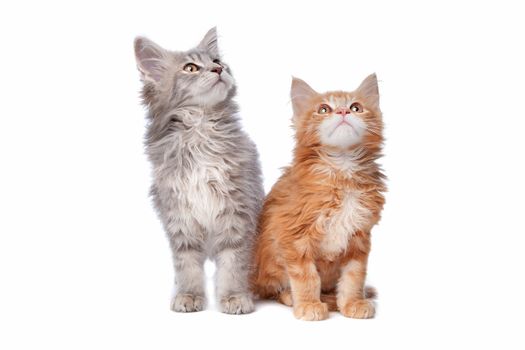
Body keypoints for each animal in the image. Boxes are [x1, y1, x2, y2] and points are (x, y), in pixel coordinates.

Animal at [134, 28, 262, 314]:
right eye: (190, 68)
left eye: (217, 61)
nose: (218, 69)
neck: (200, 131)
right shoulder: (179, 214)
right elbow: (187, 265)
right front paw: (189, 295)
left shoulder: (237, 210)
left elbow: (234, 262)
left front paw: (234, 296)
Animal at [250, 75, 384, 322]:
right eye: (323, 109)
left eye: (356, 107)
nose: (342, 111)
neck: (342, 172)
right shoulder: (294, 236)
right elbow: (306, 276)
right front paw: (309, 304)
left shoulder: (359, 237)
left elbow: (354, 276)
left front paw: (352, 303)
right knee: (274, 290)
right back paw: (294, 298)